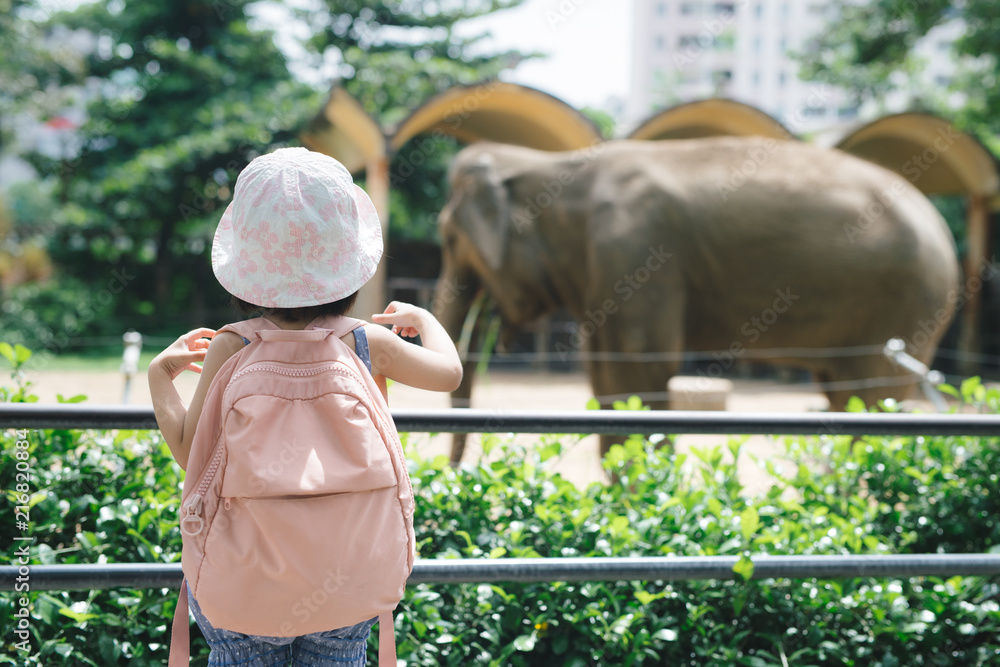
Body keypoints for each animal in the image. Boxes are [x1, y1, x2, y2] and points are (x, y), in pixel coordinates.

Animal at [434, 138, 964, 462]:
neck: (549, 163)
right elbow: (607, 381)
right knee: (842, 393)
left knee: (872, 397)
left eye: (448, 240)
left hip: (905, 304)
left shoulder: (637, 251)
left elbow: (639, 374)